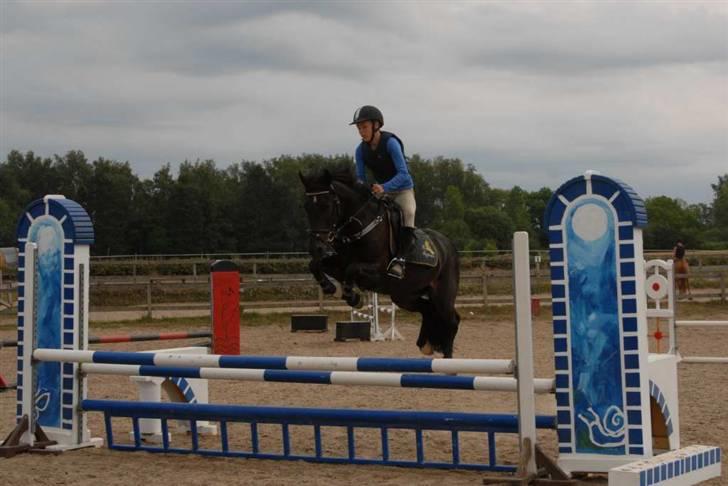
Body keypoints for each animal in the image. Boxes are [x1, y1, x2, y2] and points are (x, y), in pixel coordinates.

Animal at [300, 165, 460, 358]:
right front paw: (333, 288)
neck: (358, 229)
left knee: (451, 321)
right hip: (404, 295)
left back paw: (448, 359)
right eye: (307, 207)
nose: (316, 248)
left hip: (442, 295)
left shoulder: (377, 271)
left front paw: (353, 297)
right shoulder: (337, 263)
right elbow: (315, 265)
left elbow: (352, 269)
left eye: (327, 206)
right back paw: (425, 344)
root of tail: (448, 245)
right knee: (428, 309)